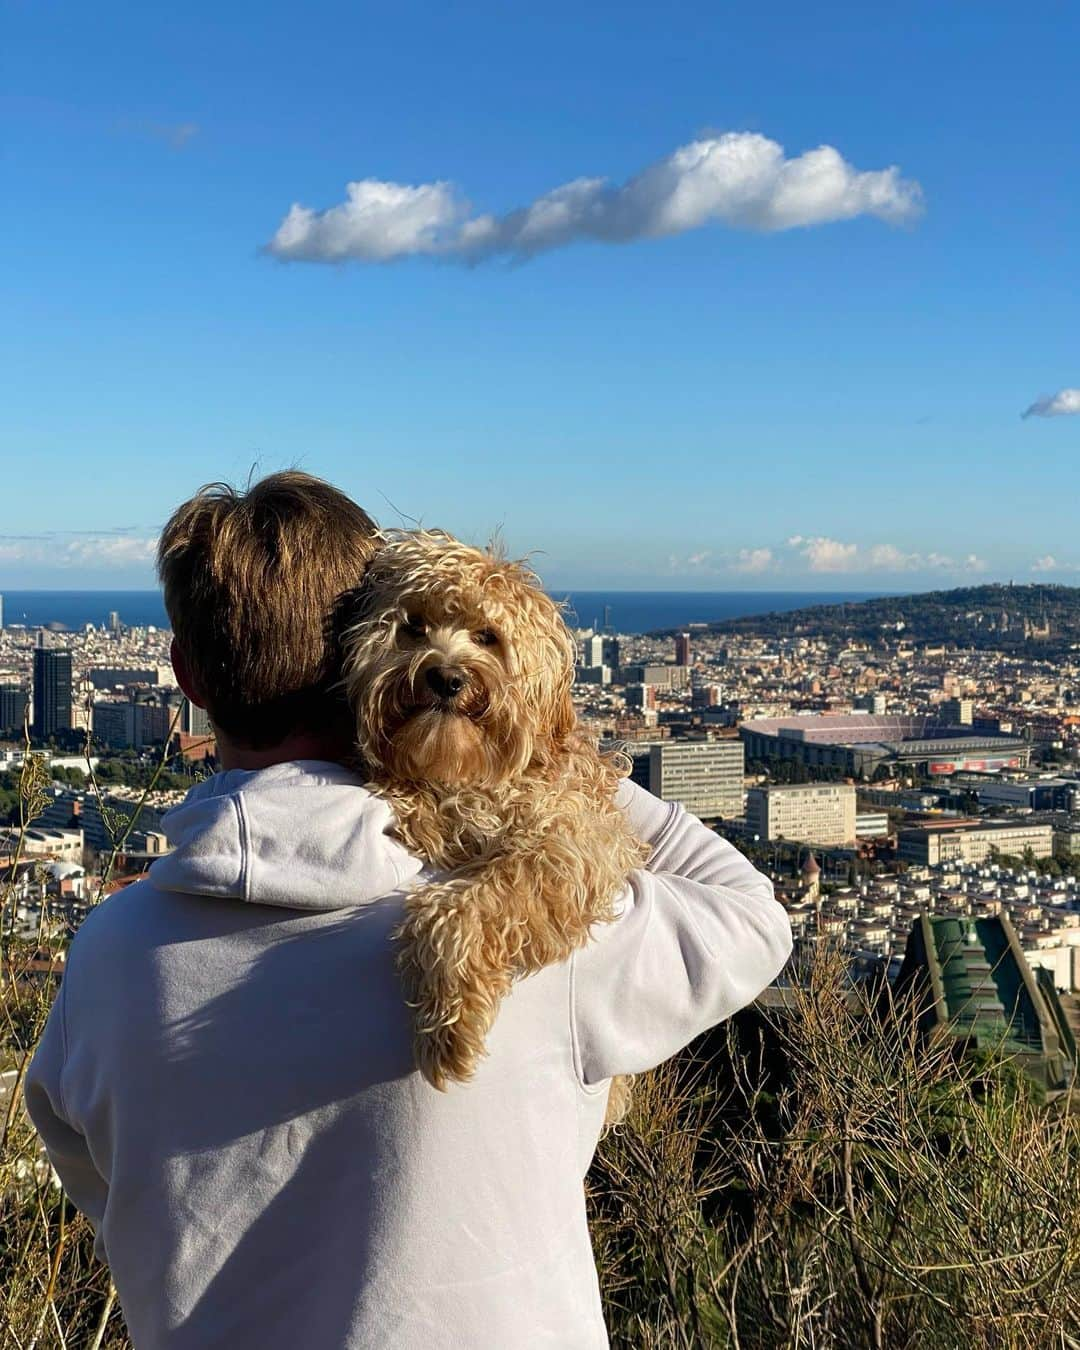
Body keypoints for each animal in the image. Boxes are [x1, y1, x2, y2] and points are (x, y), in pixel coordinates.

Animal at [345, 526, 645, 1107]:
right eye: (412, 627)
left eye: (487, 636)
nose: (444, 677)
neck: (468, 774)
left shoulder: (572, 845)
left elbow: (469, 902)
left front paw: (449, 1029)